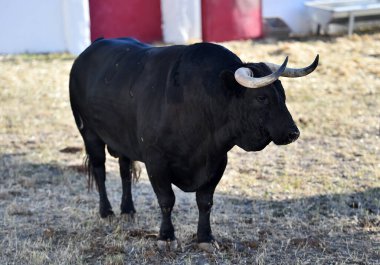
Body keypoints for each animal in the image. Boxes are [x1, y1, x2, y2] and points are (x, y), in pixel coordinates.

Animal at [69, 37, 318, 250]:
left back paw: (128, 209)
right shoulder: (156, 162)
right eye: (261, 97)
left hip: (122, 141)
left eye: (283, 95)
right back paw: (107, 211)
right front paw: (166, 237)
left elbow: (205, 201)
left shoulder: (217, 161)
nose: (293, 133)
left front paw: (205, 238)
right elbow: (166, 199)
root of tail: (90, 49)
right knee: (99, 170)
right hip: (89, 133)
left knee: (124, 170)